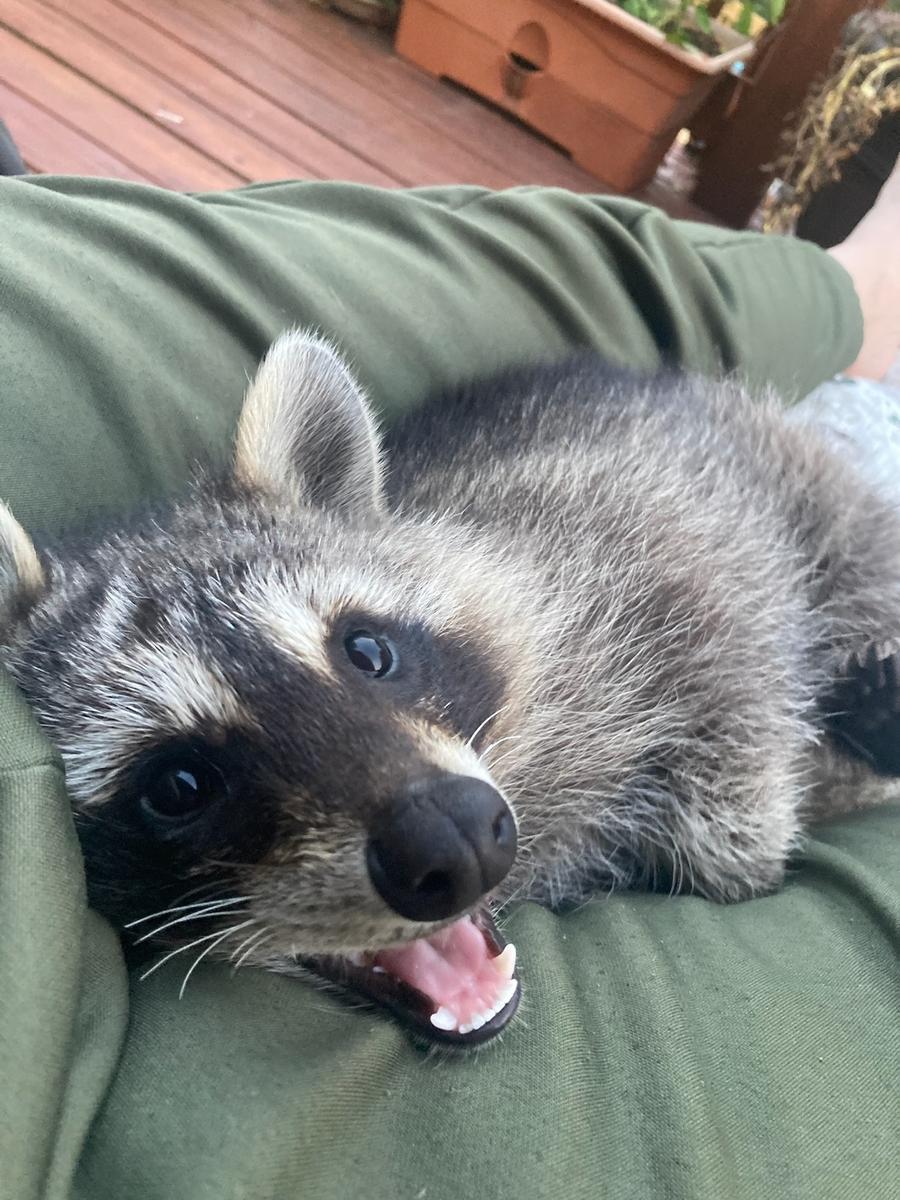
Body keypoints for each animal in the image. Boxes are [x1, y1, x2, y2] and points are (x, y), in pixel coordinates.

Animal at [1, 331, 898, 1047]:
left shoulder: (640, 550)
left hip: (791, 475)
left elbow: (730, 660)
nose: (458, 838)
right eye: (180, 784)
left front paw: (786, 795)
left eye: (368, 652)